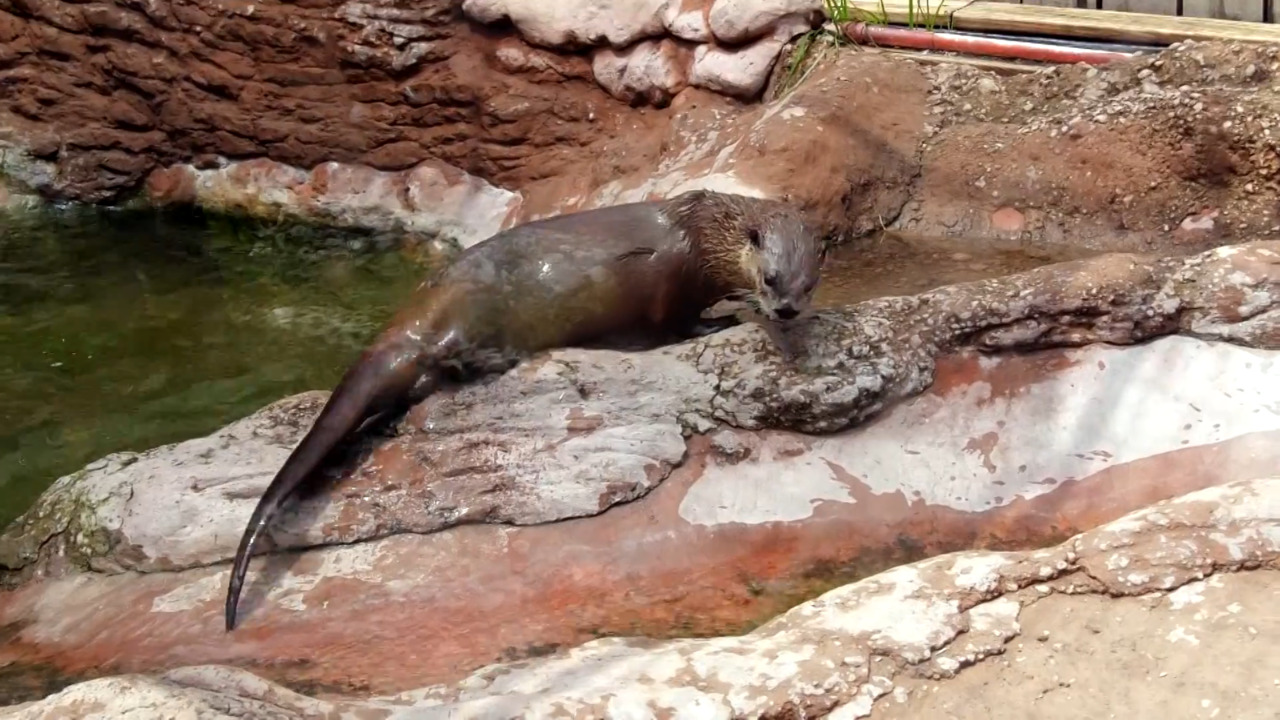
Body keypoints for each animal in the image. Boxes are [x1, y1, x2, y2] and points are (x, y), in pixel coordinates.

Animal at [224, 189, 825, 631]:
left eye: (808, 281)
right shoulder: (670, 289)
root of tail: (415, 315)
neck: (702, 237)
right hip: (467, 319)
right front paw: (722, 320)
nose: (786, 308)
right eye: (771, 277)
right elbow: (676, 326)